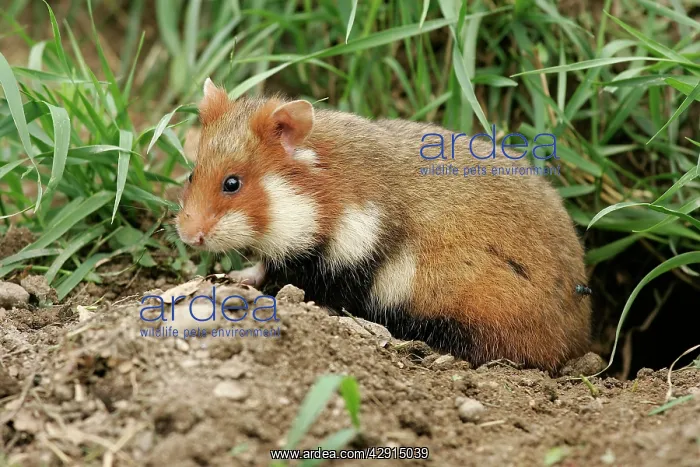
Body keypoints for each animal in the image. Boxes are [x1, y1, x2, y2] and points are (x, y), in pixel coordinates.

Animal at [176, 78, 592, 371]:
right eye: (193, 175)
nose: (188, 235)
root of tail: (580, 338)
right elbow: (268, 266)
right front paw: (237, 277)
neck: (325, 198)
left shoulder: (351, 256)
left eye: (232, 183)